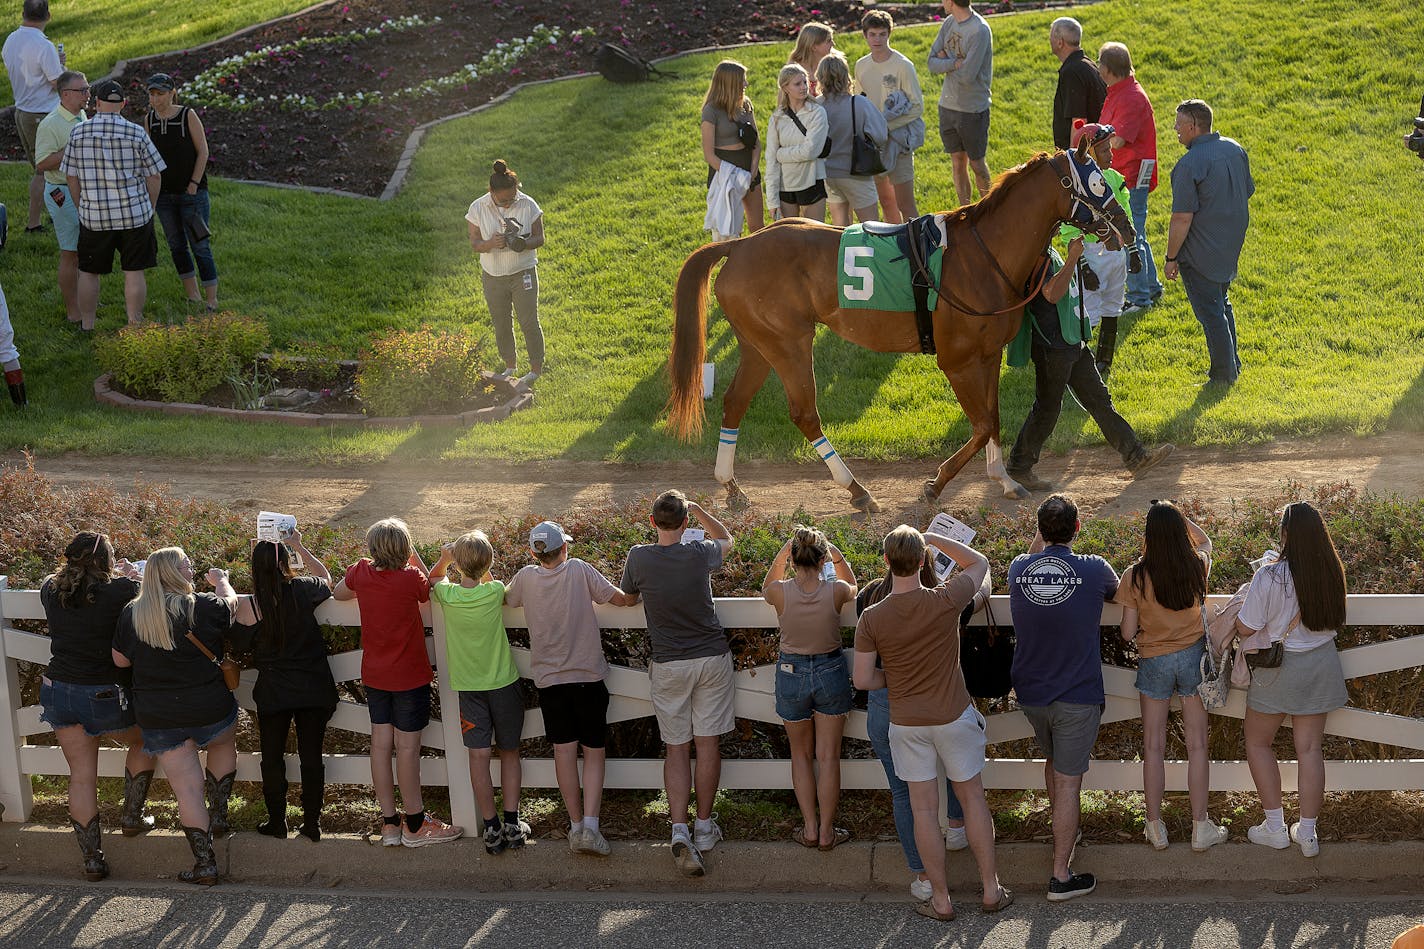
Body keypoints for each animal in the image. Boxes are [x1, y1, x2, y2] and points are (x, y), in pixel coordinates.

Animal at [666, 143, 1133, 510]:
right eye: (1097, 184)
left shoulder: (988, 355)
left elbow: (994, 418)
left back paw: (731, 485)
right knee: (804, 414)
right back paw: (856, 489)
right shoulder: (957, 360)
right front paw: (936, 483)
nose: (1127, 228)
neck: (983, 256)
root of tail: (740, 243)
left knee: (734, 402)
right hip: (789, 343)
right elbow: (982, 425)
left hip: (759, 344)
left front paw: (1004, 479)